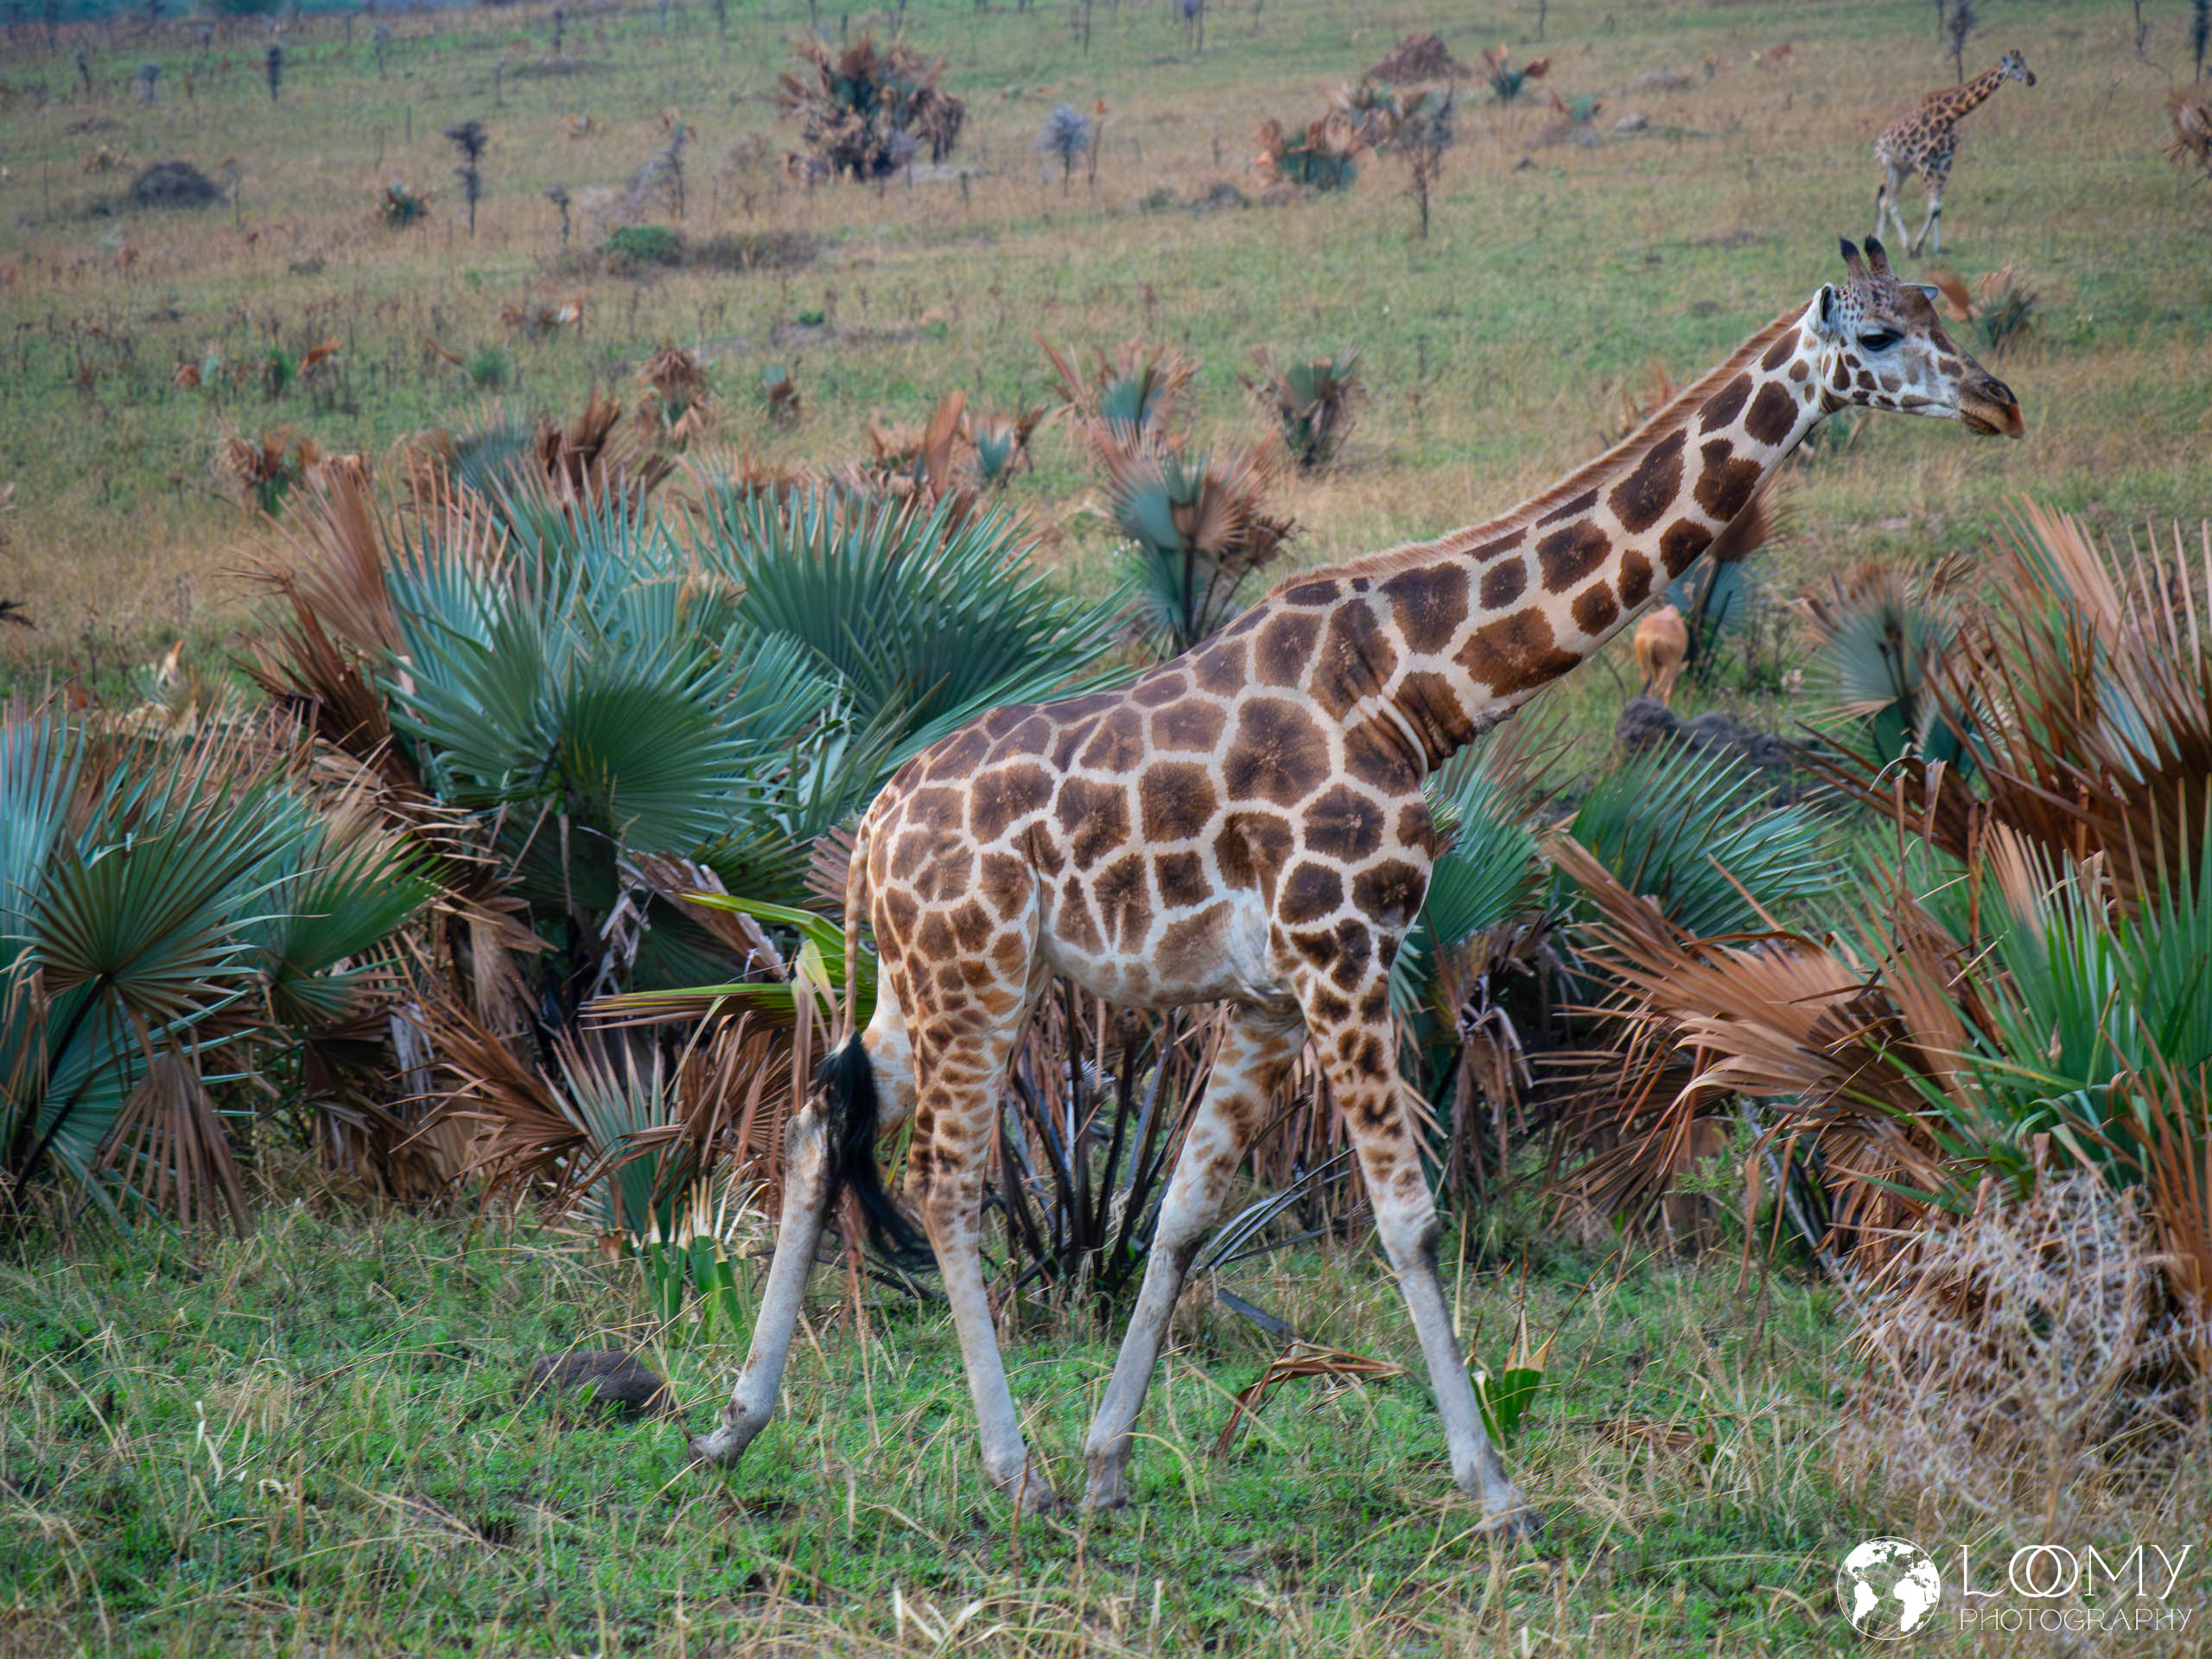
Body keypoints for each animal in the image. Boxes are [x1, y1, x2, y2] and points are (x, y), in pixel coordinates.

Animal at [691, 238, 2024, 1535]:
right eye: (1878, 335)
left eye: (1937, 304)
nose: (1998, 402)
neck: (1416, 681)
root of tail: (872, 828)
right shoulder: (1344, 951)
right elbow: (1409, 1220)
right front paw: (1495, 1494)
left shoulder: (1271, 996)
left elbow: (1183, 1217)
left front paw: (1112, 1464)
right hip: (980, 976)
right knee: (946, 1183)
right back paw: (1008, 1473)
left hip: (921, 979)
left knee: (817, 1121)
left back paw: (734, 1430)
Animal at [1872, 49, 2035, 259]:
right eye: (2015, 66)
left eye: (2025, 62)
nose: (2031, 79)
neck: (1949, 116)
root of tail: (1879, 141)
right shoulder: (1924, 162)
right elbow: (1934, 205)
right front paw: (1918, 246)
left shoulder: (1944, 162)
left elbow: (1937, 207)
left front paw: (1936, 249)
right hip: (1889, 165)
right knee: (1889, 201)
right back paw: (1904, 245)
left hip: (1904, 170)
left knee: (1886, 199)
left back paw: (1884, 240)